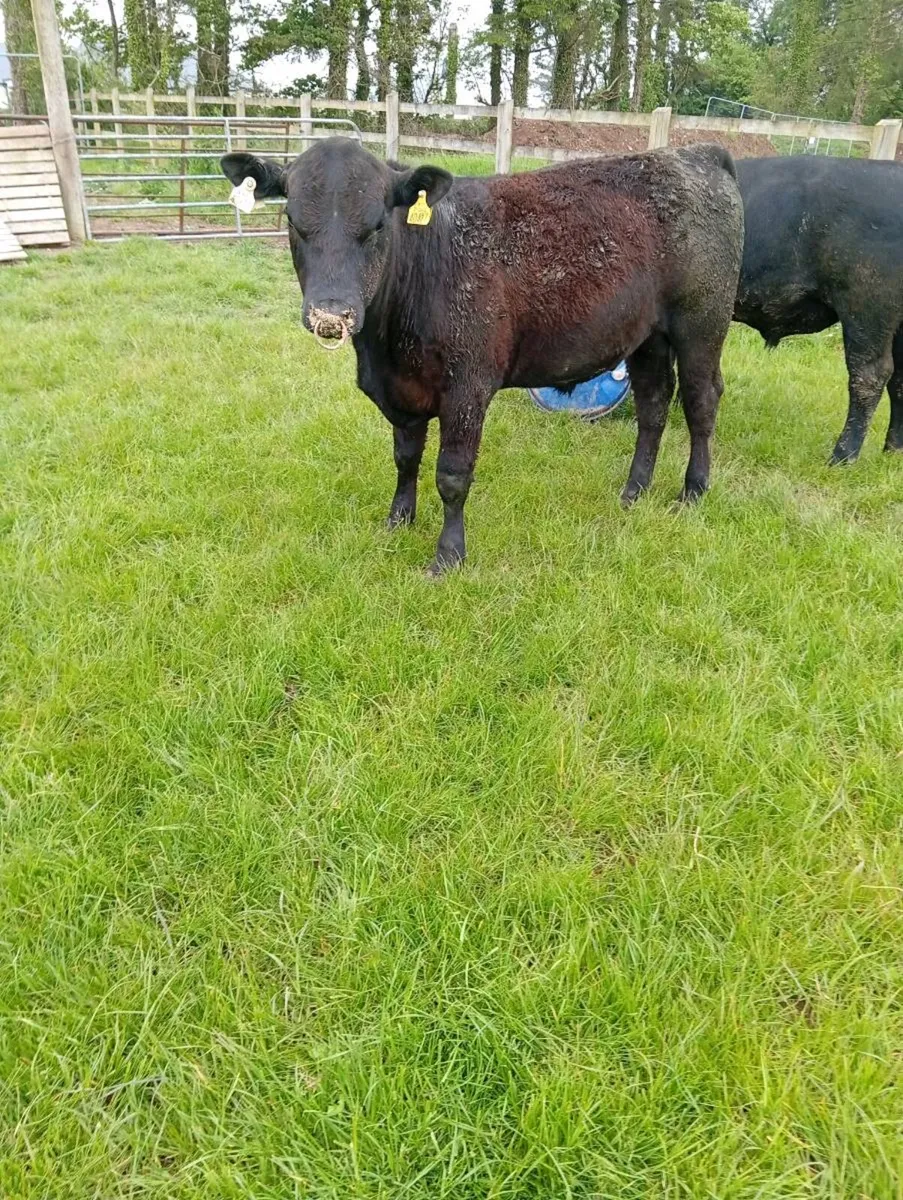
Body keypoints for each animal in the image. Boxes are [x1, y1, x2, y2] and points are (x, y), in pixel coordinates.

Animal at [222, 139, 743, 573]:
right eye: (293, 221)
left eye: (376, 225)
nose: (331, 313)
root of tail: (696, 153)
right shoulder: (401, 392)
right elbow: (405, 458)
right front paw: (398, 521)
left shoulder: (468, 387)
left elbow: (452, 475)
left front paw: (448, 555)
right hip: (647, 337)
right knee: (653, 404)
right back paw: (634, 491)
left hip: (702, 322)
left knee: (700, 400)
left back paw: (692, 491)